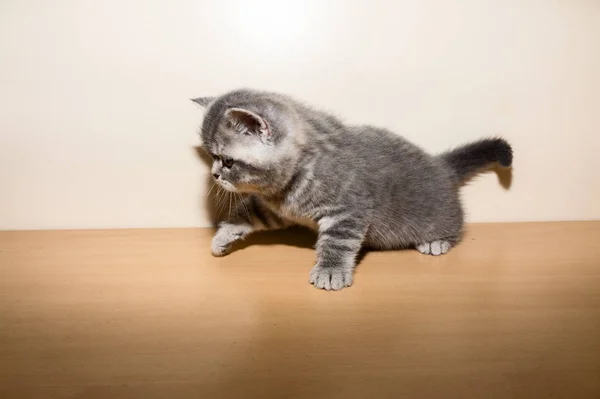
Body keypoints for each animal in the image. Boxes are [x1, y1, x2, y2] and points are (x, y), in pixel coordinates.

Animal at [192, 90, 510, 290]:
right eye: (211, 157)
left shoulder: (348, 211)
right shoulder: (277, 209)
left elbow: (337, 241)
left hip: (436, 214)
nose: (214, 174)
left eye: (227, 161)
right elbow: (248, 214)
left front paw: (331, 271)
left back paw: (438, 241)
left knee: (455, 223)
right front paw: (223, 236)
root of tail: (441, 165)